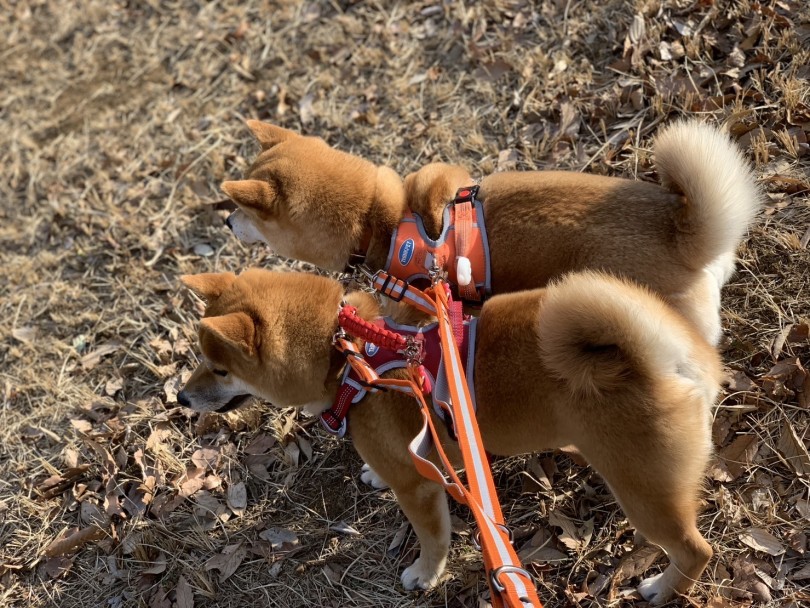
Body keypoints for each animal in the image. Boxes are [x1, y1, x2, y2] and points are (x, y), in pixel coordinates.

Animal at [177, 270, 720, 604]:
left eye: (221, 370)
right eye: (201, 359)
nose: (180, 398)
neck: (350, 355)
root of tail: (666, 360)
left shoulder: (418, 489)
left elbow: (432, 538)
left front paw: (424, 574)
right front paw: (372, 474)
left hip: (643, 489)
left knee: (697, 550)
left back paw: (662, 588)